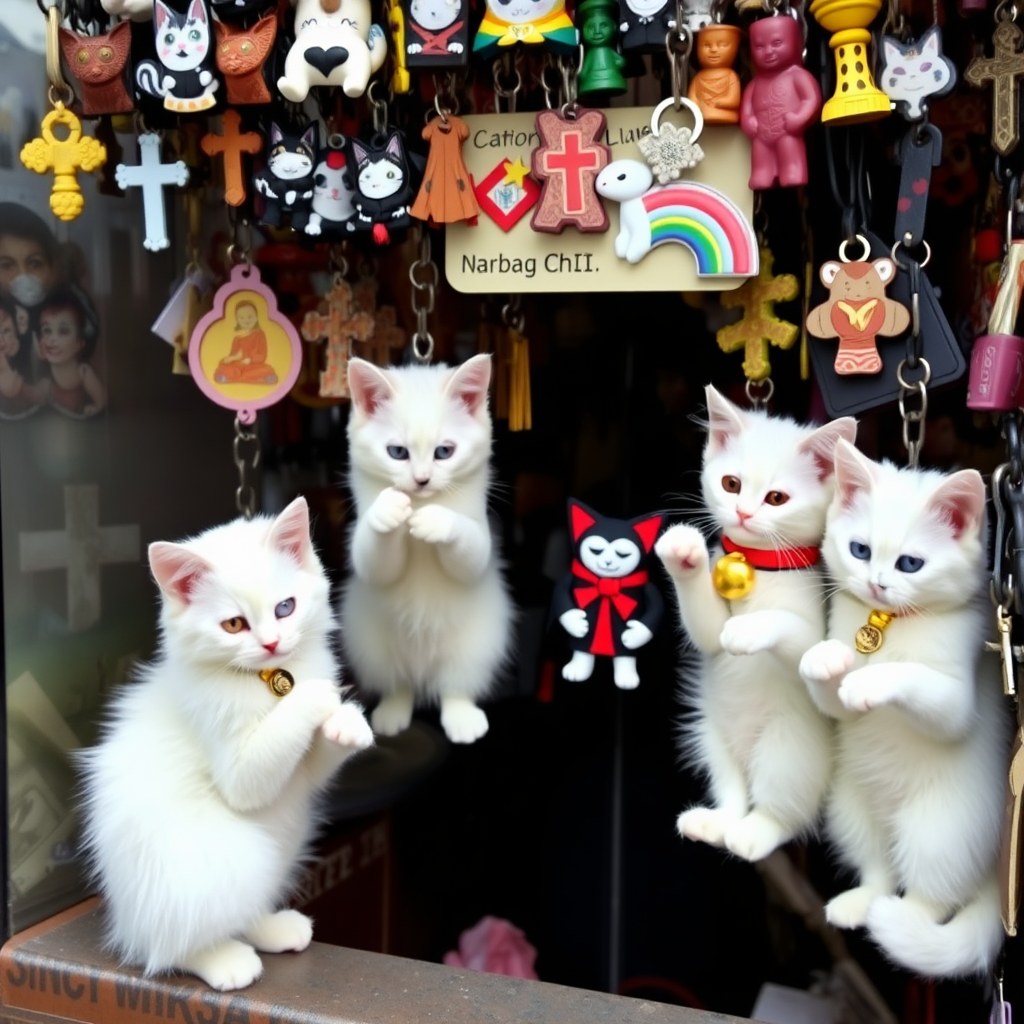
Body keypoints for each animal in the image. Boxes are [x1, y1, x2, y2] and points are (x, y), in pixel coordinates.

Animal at [75, 497, 372, 991]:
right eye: (234, 624)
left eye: (285, 607)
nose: (272, 643)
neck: (267, 679)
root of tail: (128, 921)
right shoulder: (237, 768)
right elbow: (260, 765)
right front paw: (319, 695)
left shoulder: (301, 778)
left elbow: (313, 765)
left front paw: (348, 724)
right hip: (222, 861)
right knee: (170, 944)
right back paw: (225, 961)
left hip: (283, 842)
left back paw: (272, 929)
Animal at [339, 356, 512, 749]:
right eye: (398, 453)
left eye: (444, 452)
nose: (421, 481)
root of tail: (423, 672)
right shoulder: (366, 555)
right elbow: (374, 562)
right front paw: (389, 510)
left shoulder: (479, 538)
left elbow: (470, 551)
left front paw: (435, 519)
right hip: (373, 647)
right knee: (399, 684)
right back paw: (392, 714)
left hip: (475, 646)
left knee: (455, 685)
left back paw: (462, 719)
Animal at [655, 389, 856, 864]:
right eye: (731, 484)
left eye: (777, 498)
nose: (743, 513)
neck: (758, 565)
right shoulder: (708, 629)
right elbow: (708, 632)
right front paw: (683, 554)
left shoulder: (813, 617)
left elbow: (792, 631)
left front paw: (747, 630)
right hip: (711, 734)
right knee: (732, 788)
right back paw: (717, 822)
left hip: (788, 747)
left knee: (784, 809)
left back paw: (753, 833)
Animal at [798, 440, 1007, 974]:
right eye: (860, 550)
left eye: (910, 564)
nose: (876, 584)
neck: (889, 623)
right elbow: (831, 694)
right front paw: (826, 658)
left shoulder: (958, 699)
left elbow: (917, 682)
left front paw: (869, 680)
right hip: (851, 810)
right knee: (879, 868)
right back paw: (860, 903)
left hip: (937, 833)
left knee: (930, 897)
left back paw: (898, 914)